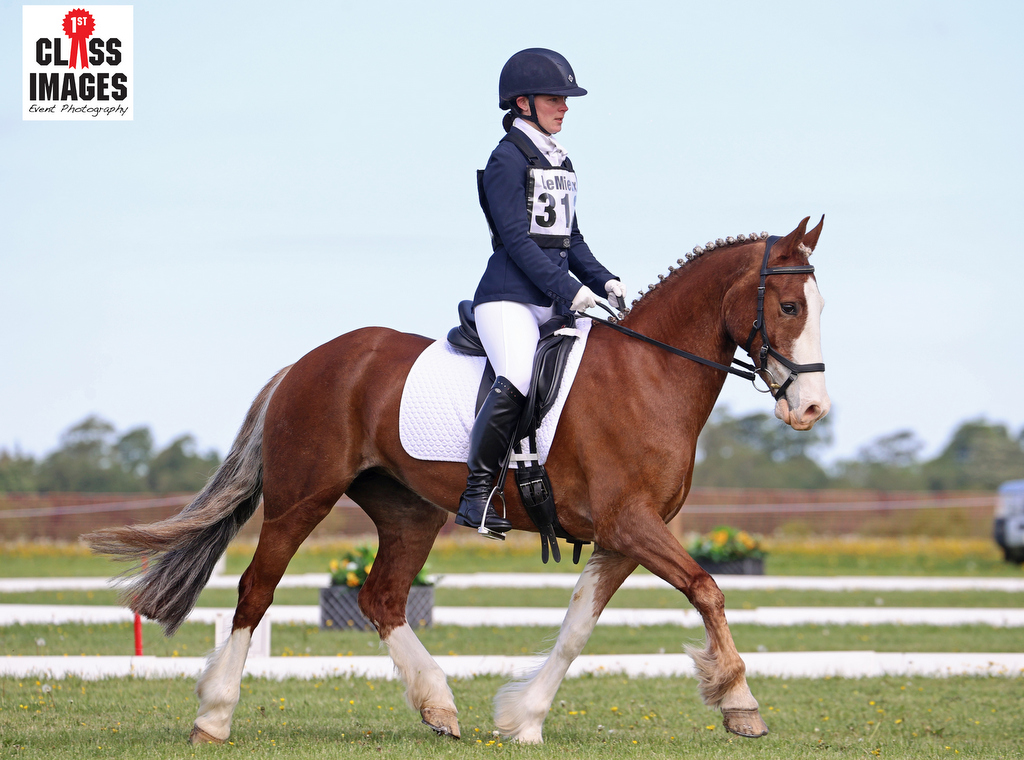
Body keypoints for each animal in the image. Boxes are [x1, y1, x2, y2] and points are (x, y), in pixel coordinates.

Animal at [85, 215, 830, 746]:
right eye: (790, 307)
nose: (811, 410)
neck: (650, 374)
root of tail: (309, 362)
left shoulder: (623, 536)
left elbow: (578, 627)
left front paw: (523, 717)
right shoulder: (631, 523)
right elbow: (707, 588)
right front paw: (741, 703)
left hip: (410, 511)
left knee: (382, 598)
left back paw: (439, 706)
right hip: (301, 500)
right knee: (255, 591)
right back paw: (214, 717)